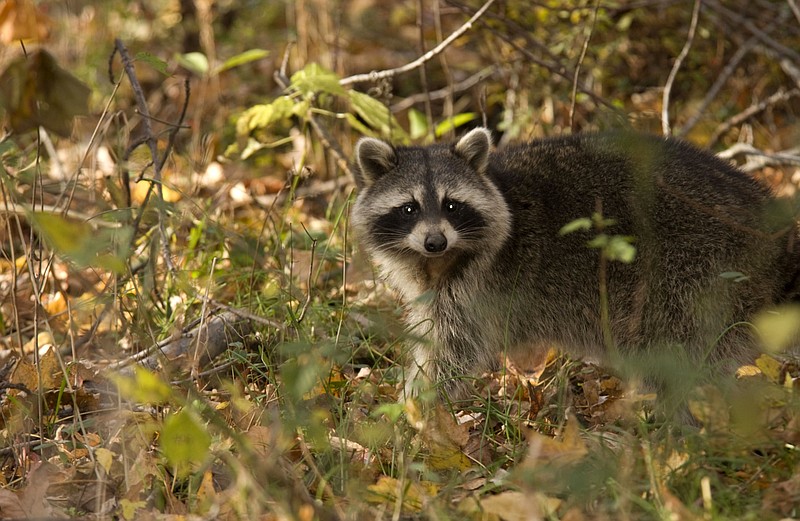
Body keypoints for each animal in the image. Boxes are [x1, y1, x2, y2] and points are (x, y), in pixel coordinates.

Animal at [350, 127, 800, 398]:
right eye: (409, 208)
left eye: (451, 205)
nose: (435, 241)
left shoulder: (475, 287)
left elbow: (452, 353)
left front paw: (415, 411)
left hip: (692, 267)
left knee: (673, 349)